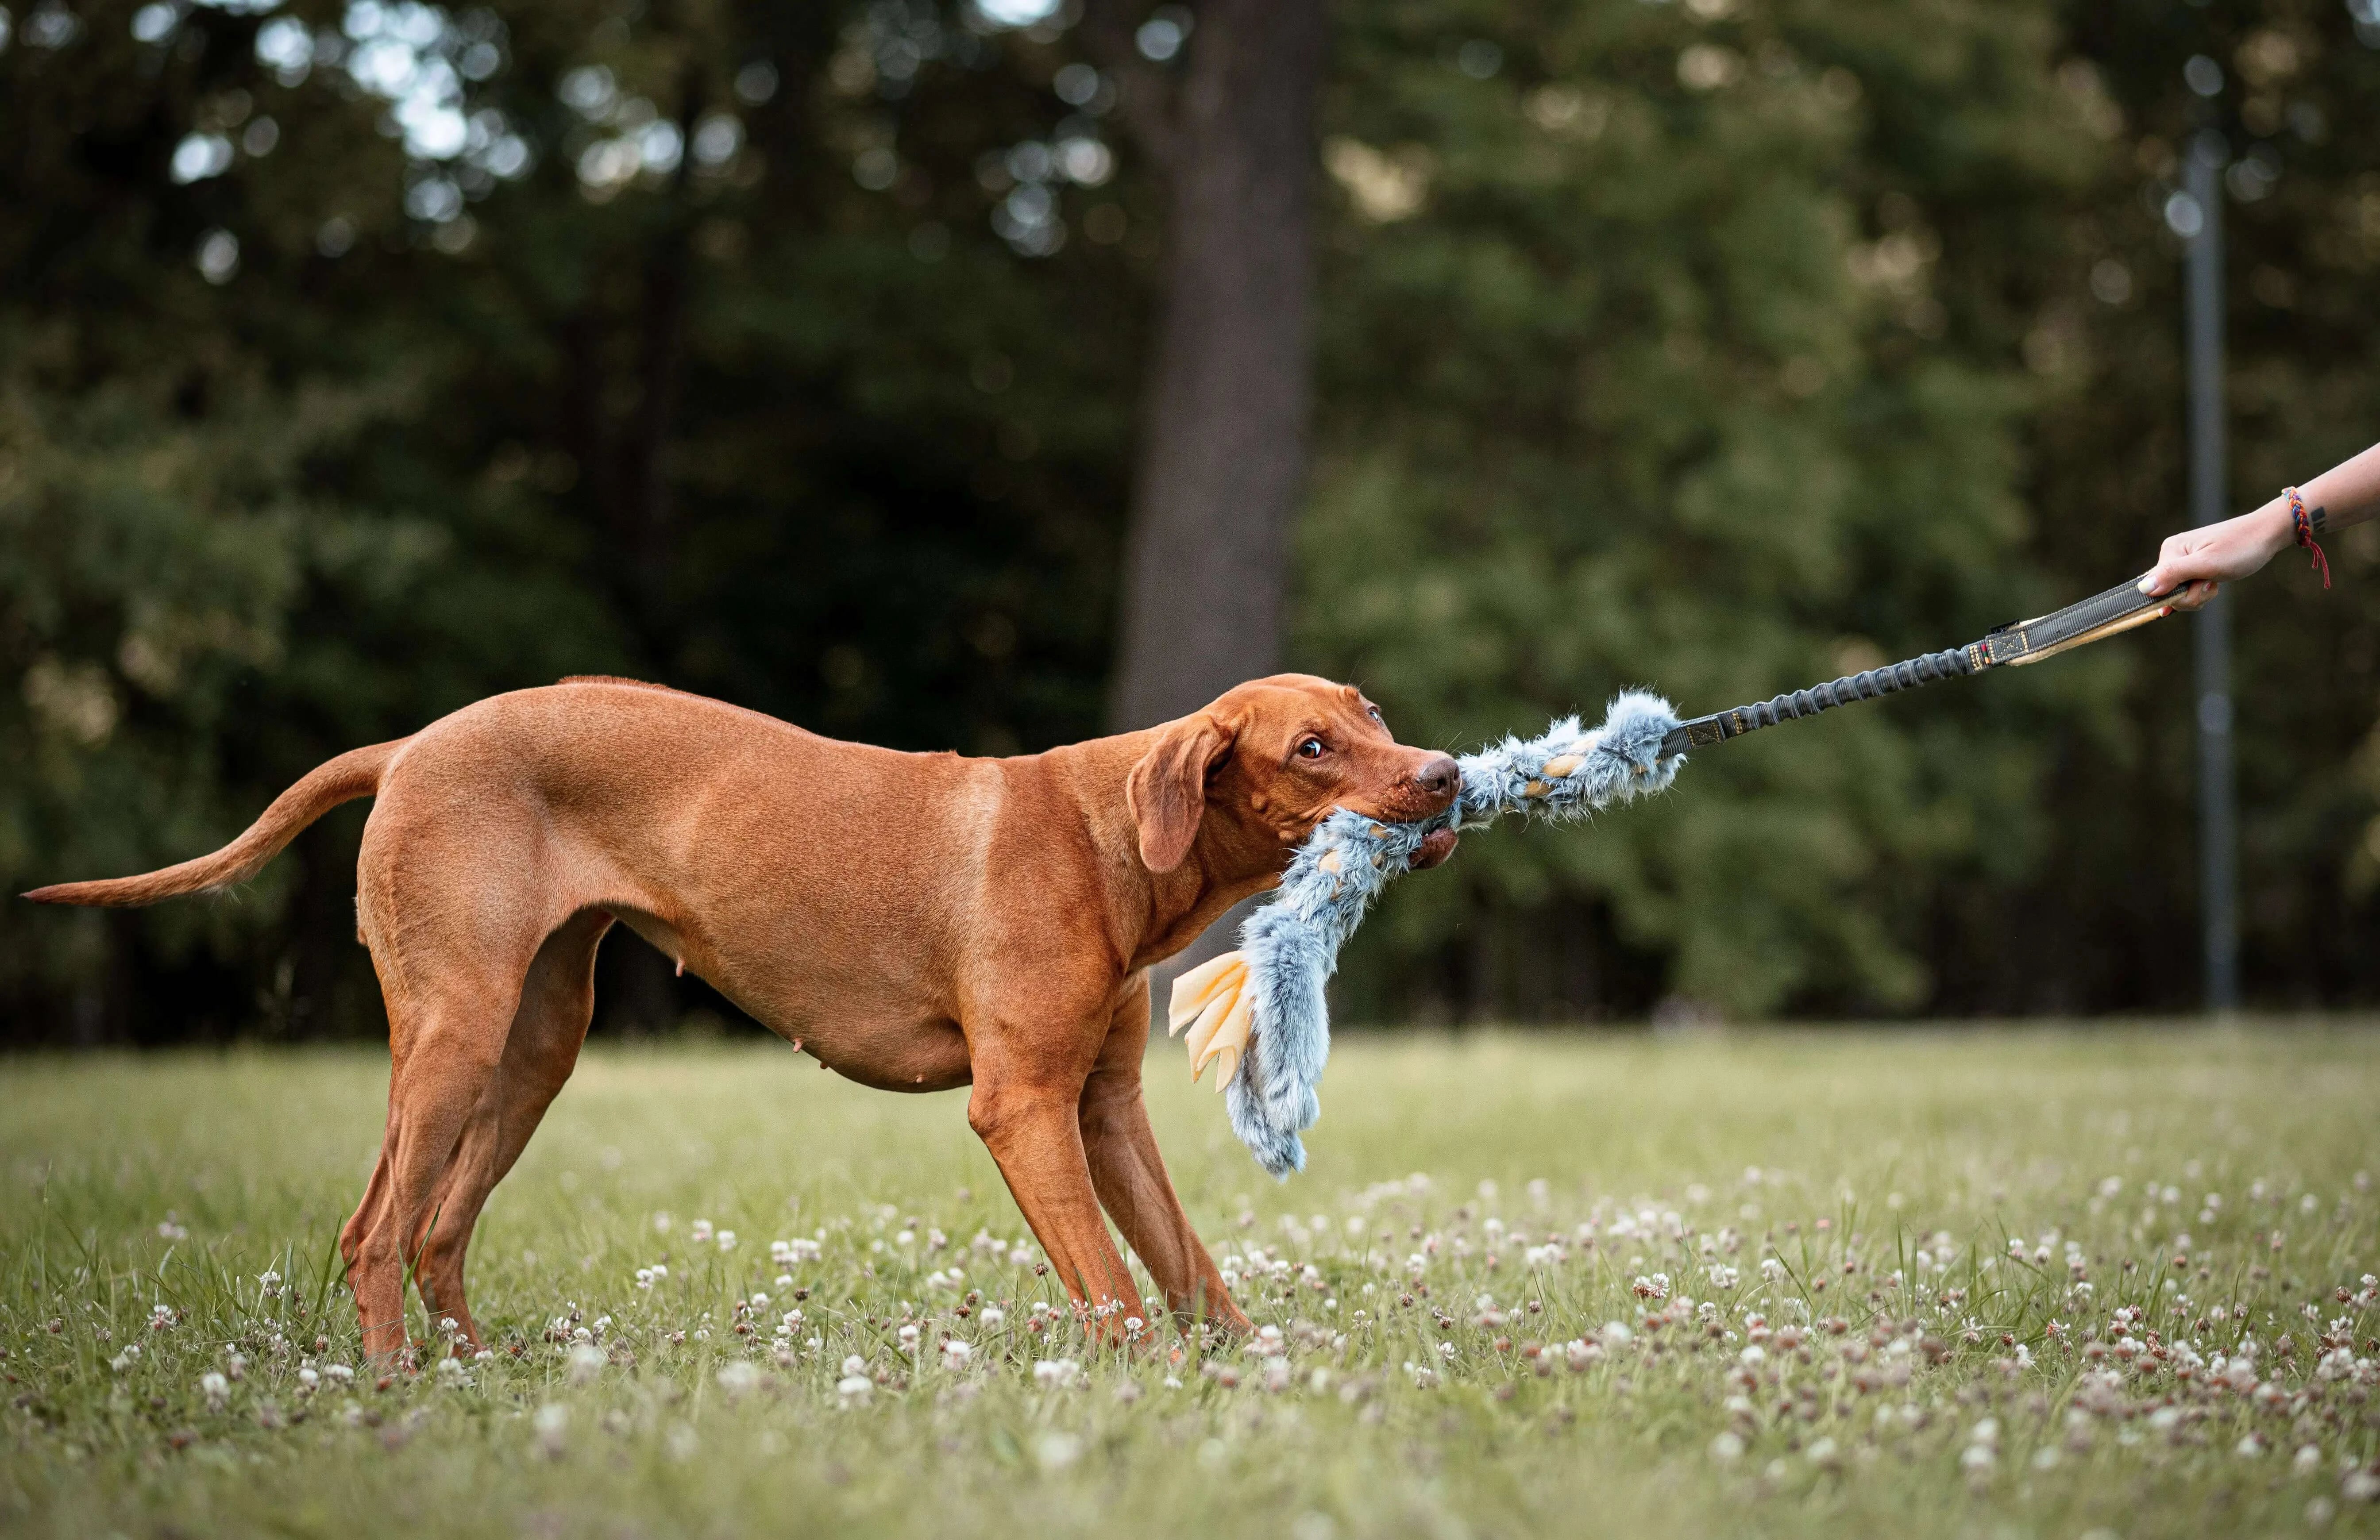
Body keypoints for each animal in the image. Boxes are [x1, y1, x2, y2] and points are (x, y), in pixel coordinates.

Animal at [28, 676, 1456, 1361]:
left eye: (1374, 713)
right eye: (1312, 748)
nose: (1446, 774)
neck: (1110, 837)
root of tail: (410, 745)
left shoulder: (1104, 1112)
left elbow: (1188, 1264)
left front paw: (1257, 1378)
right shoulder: (1024, 1109)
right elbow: (1112, 1287)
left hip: (532, 1046)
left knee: (435, 1228)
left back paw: (477, 1371)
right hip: (455, 1030)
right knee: (377, 1228)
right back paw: (388, 1389)